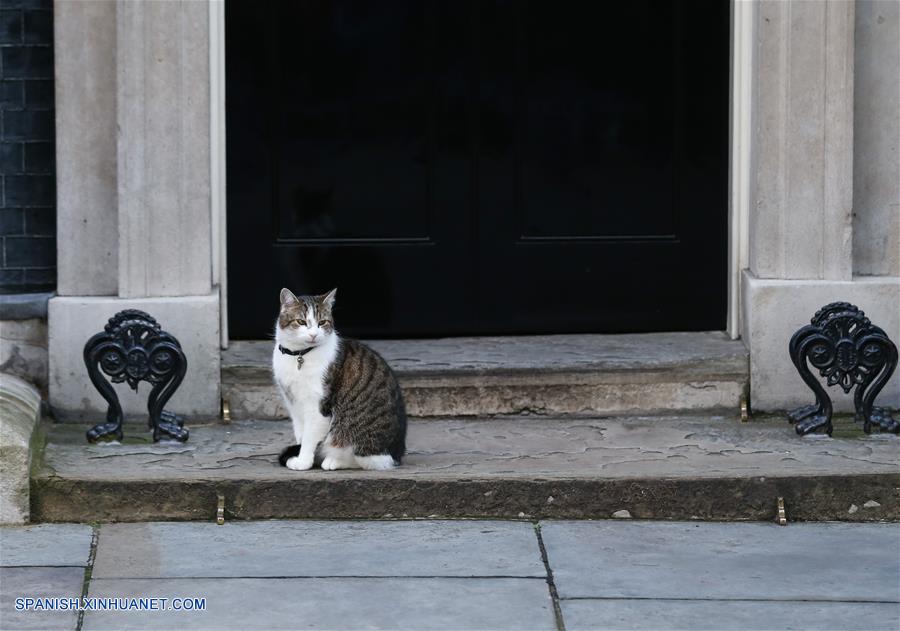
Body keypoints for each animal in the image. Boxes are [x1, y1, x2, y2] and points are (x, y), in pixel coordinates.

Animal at [268, 286, 406, 470]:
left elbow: (309, 438)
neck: (299, 355)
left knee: (365, 460)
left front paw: (303, 462)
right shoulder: (293, 404)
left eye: (322, 323)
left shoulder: (318, 407)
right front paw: (300, 454)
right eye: (301, 322)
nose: (313, 334)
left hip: (354, 435)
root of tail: (397, 455)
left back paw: (333, 460)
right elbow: (301, 434)